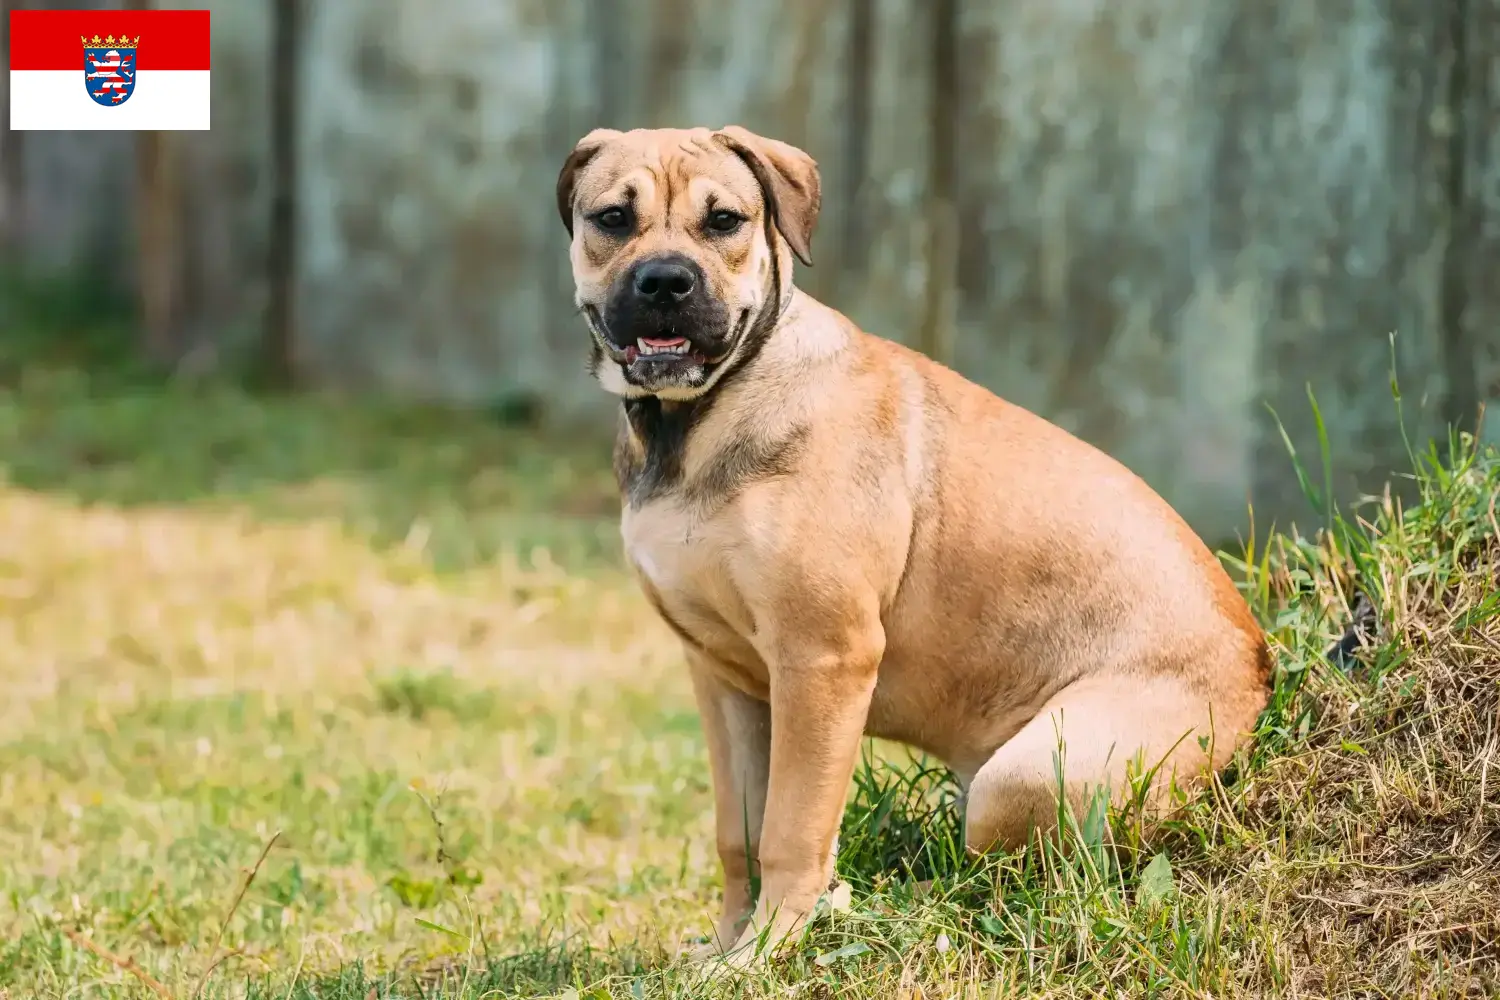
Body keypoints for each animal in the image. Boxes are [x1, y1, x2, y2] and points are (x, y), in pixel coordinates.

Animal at [558, 122, 1272, 959]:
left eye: (724, 221)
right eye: (612, 219)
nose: (666, 281)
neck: (699, 419)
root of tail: (1261, 664)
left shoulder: (823, 660)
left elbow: (790, 829)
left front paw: (766, 953)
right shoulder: (724, 678)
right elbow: (739, 833)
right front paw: (728, 945)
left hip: (1027, 775)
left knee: (1043, 880)